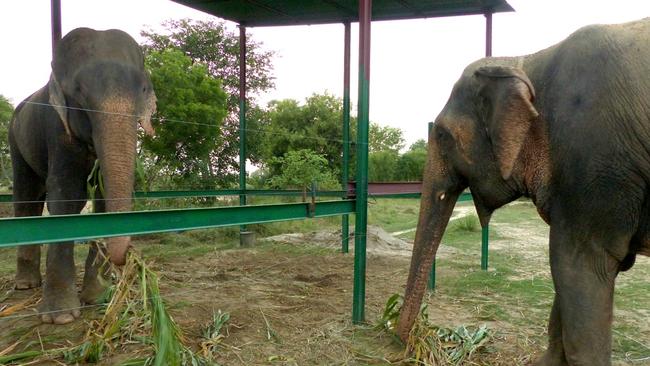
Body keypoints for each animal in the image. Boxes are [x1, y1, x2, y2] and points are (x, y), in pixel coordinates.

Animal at [10, 29, 155, 326]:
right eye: (79, 94)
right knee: (26, 196)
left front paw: (96, 298)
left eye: (144, 90)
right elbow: (67, 194)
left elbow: (101, 196)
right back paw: (25, 285)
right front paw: (60, 317)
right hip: (14, 139)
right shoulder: (57, 125)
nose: (127, 258)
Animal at [392, 17, 648, 364]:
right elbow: (569, 277)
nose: (407, 338)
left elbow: (578, 266)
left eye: (442, 135)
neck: (527, 59)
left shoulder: (594, 163)